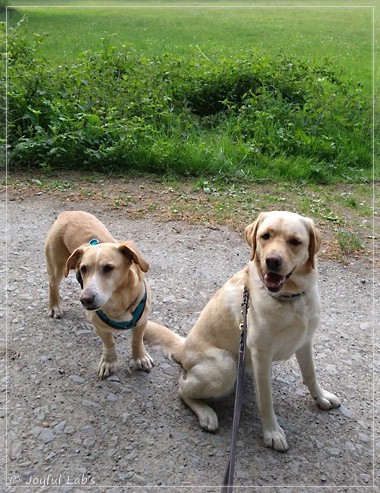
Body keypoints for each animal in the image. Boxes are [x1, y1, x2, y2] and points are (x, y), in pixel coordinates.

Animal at [45, 210, 154, 376]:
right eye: (83, 269)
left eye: (108, 268)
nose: (85, 299)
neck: (118, 300)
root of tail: (68, 212)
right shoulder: (98, 326)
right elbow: (109, 343)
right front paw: (109, 362)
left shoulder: (142, 321)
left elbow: (137, 341)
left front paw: (139, 358)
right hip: (57, 266)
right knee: (53, 285)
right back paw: (54, 306)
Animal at [146, 211, 342, 450]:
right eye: (265, 236)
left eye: (295, 241)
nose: (272, 261)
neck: (289, 298)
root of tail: (183, 348)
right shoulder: (261, 355)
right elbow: (265, 399)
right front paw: (272, 432)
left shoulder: (305, 342)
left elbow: (310, 375)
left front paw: (321, 398)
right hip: (226, 365)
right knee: (182, 388)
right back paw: (206, 414)